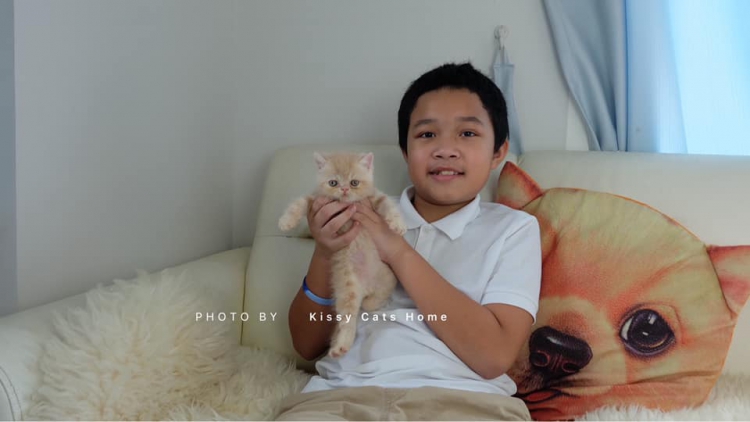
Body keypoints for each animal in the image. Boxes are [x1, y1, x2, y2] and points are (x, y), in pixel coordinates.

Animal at [278, 151, 406, 358]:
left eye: (354, 183)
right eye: (333, 183)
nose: (345, 189)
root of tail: (365, 289)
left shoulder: (374, 198)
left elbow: (388, 204)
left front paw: (398, 224)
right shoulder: (316, 200)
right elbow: (299, 203)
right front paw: (286, 221)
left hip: (387, 276)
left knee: (377, 298)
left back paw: (371, 303)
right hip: (348, 285)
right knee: (348, 317)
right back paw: (340, 346)